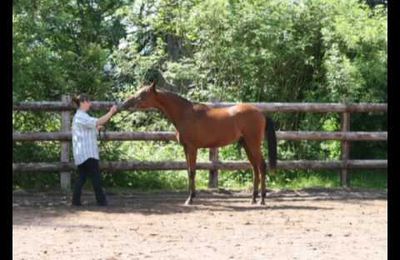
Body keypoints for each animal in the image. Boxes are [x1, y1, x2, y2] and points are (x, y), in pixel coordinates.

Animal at [117, 81, 276, 205]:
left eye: (142, 95)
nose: (125, 104)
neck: (185, 113)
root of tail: (261, 113)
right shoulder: (186, 149)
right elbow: (188, 171)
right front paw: (191, 196)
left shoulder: (193, 148)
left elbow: (192, 172)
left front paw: (190, 199)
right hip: (247, 145)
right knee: (255, 168)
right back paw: (253, 199)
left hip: (253, 144)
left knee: (262, 166)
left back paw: (262, 200)